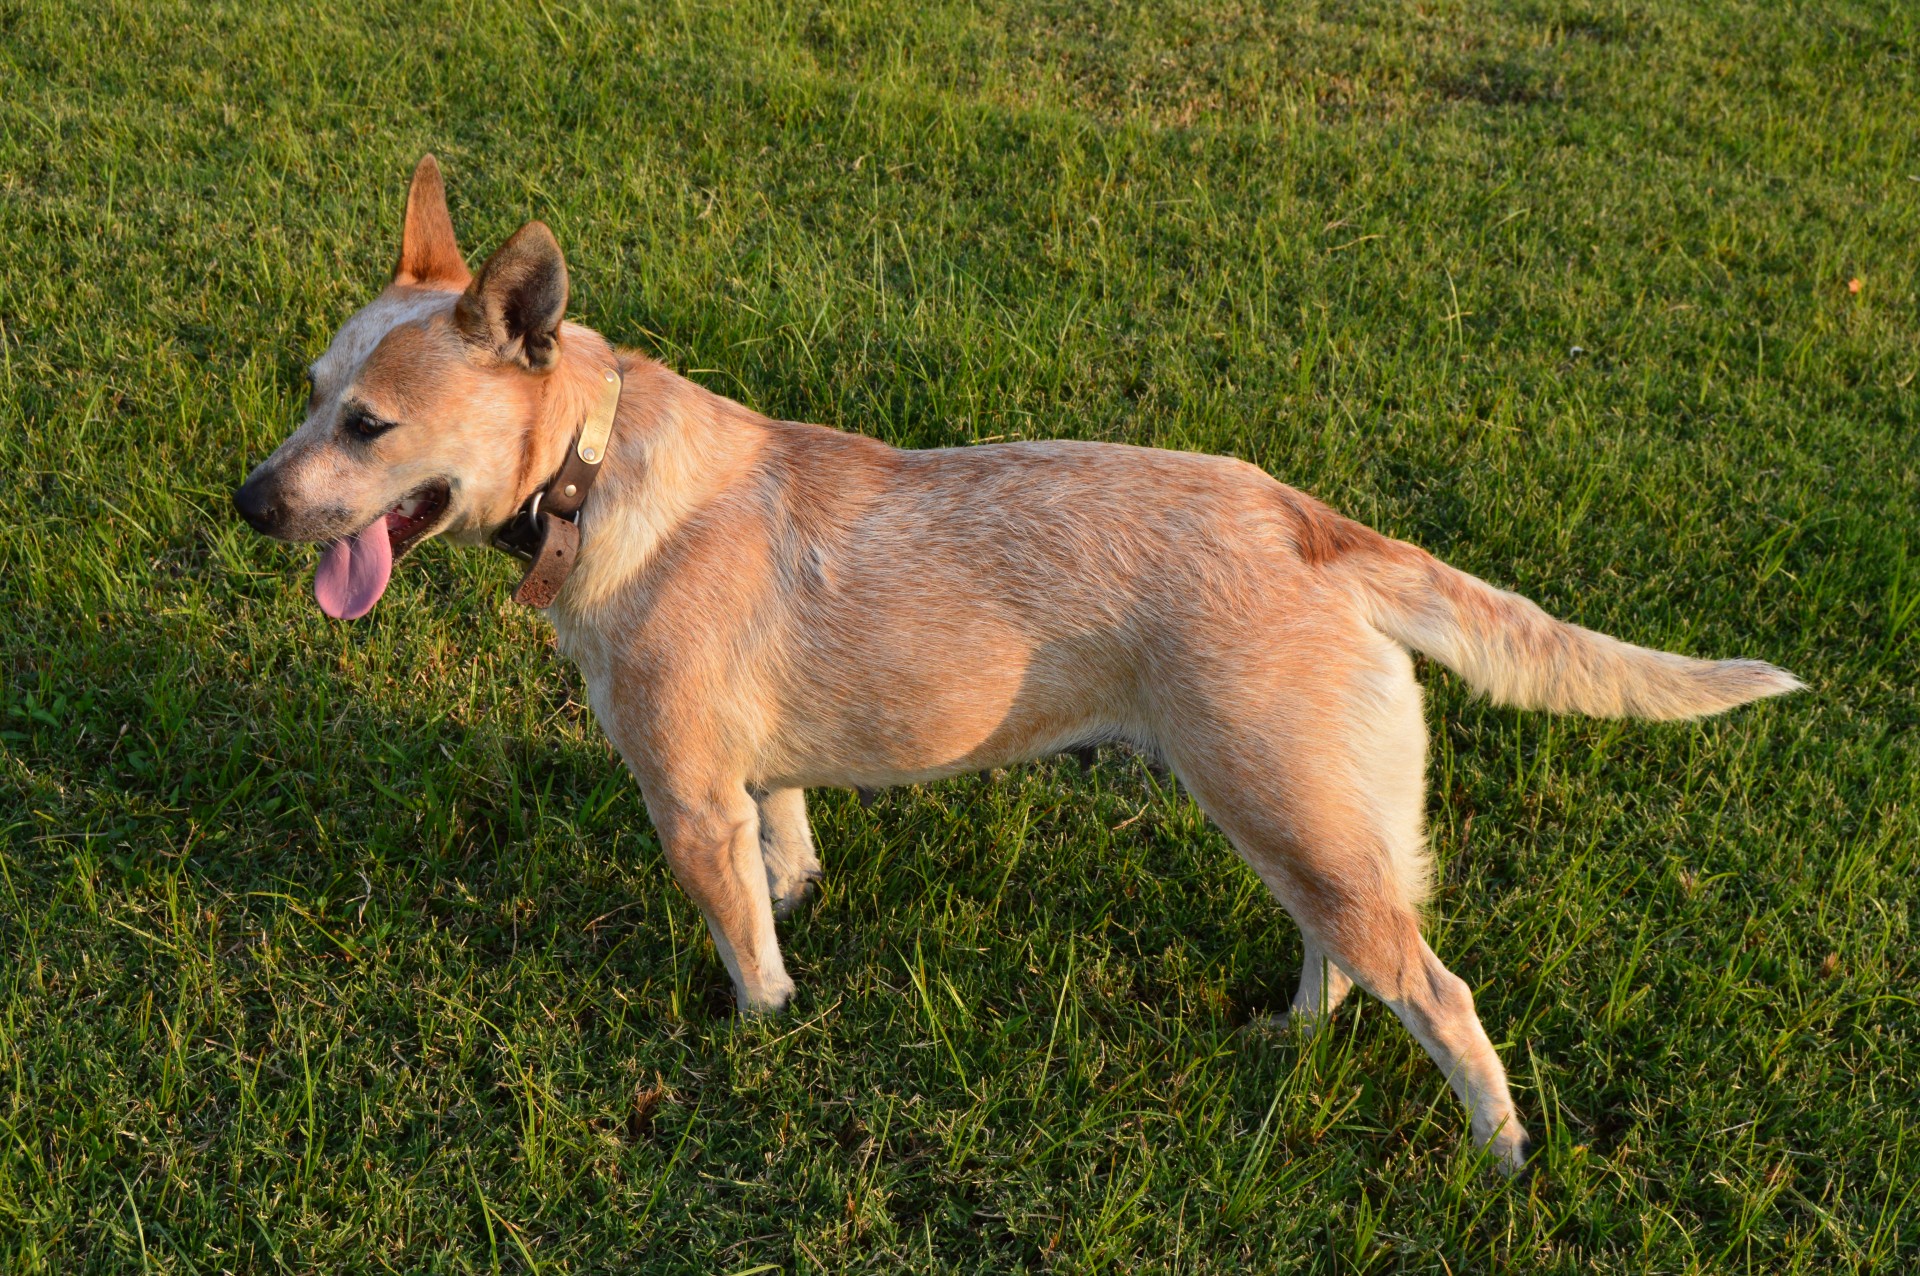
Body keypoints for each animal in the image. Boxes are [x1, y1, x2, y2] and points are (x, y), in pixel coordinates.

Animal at [236, 154, 1797, 1166]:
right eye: (307, 395)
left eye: (368, 427)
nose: (248, 501)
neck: (595, 469)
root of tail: (1312, 523)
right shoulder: (754, 779)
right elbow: (786, 855)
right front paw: (799, 902)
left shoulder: (683, 797)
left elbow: (746, 951)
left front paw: (758, 1040)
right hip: (1300, 816)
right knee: (1343, 956)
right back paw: (1291, 1042)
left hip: (1288, 806)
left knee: (1440, 996)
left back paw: (1504, 1154)